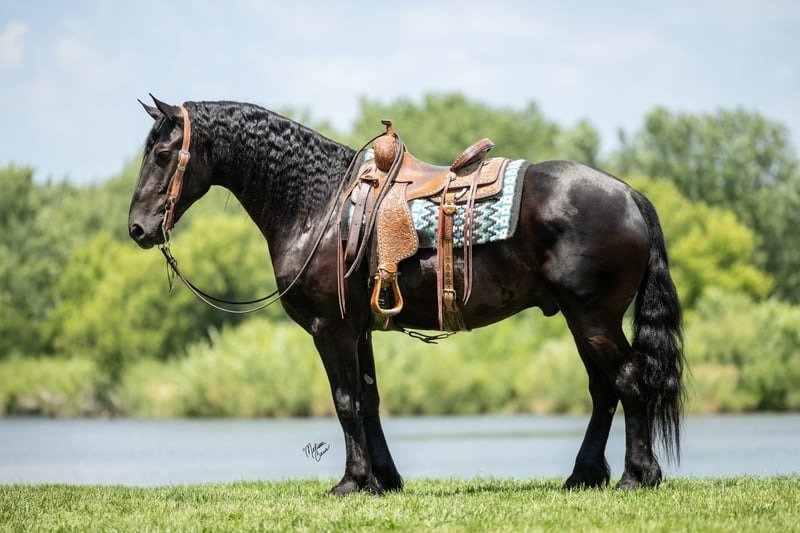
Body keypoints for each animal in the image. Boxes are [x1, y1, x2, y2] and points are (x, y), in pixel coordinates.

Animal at [128, 96, 684, 494]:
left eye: (162, 154)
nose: (137, 228)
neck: (319, 205)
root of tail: (629, 194)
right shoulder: (359, 330)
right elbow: (369, 400)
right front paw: (385, 480)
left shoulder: (331, 329)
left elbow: (345, 400)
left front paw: (352, 482)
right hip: (579, 318)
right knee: (604, 389)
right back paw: (584, 475)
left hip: (594, 317)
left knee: (628, 381)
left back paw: (636, 475)